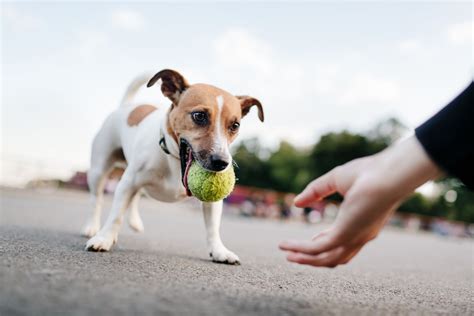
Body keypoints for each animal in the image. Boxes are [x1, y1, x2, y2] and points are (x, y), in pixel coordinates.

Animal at [83, 69, 264, 264]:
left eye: (235, 125)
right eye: (199, 116)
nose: (222, 162)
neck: (175, 159)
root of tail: (128, 106)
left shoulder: (213, 202)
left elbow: (213, 228)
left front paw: (218, 251)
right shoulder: (128, 183)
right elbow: (116, 215)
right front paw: (104, 238)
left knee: (135, 196)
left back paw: (134, 222)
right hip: (99, 170)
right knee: (96, 199)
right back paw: (92, 227)